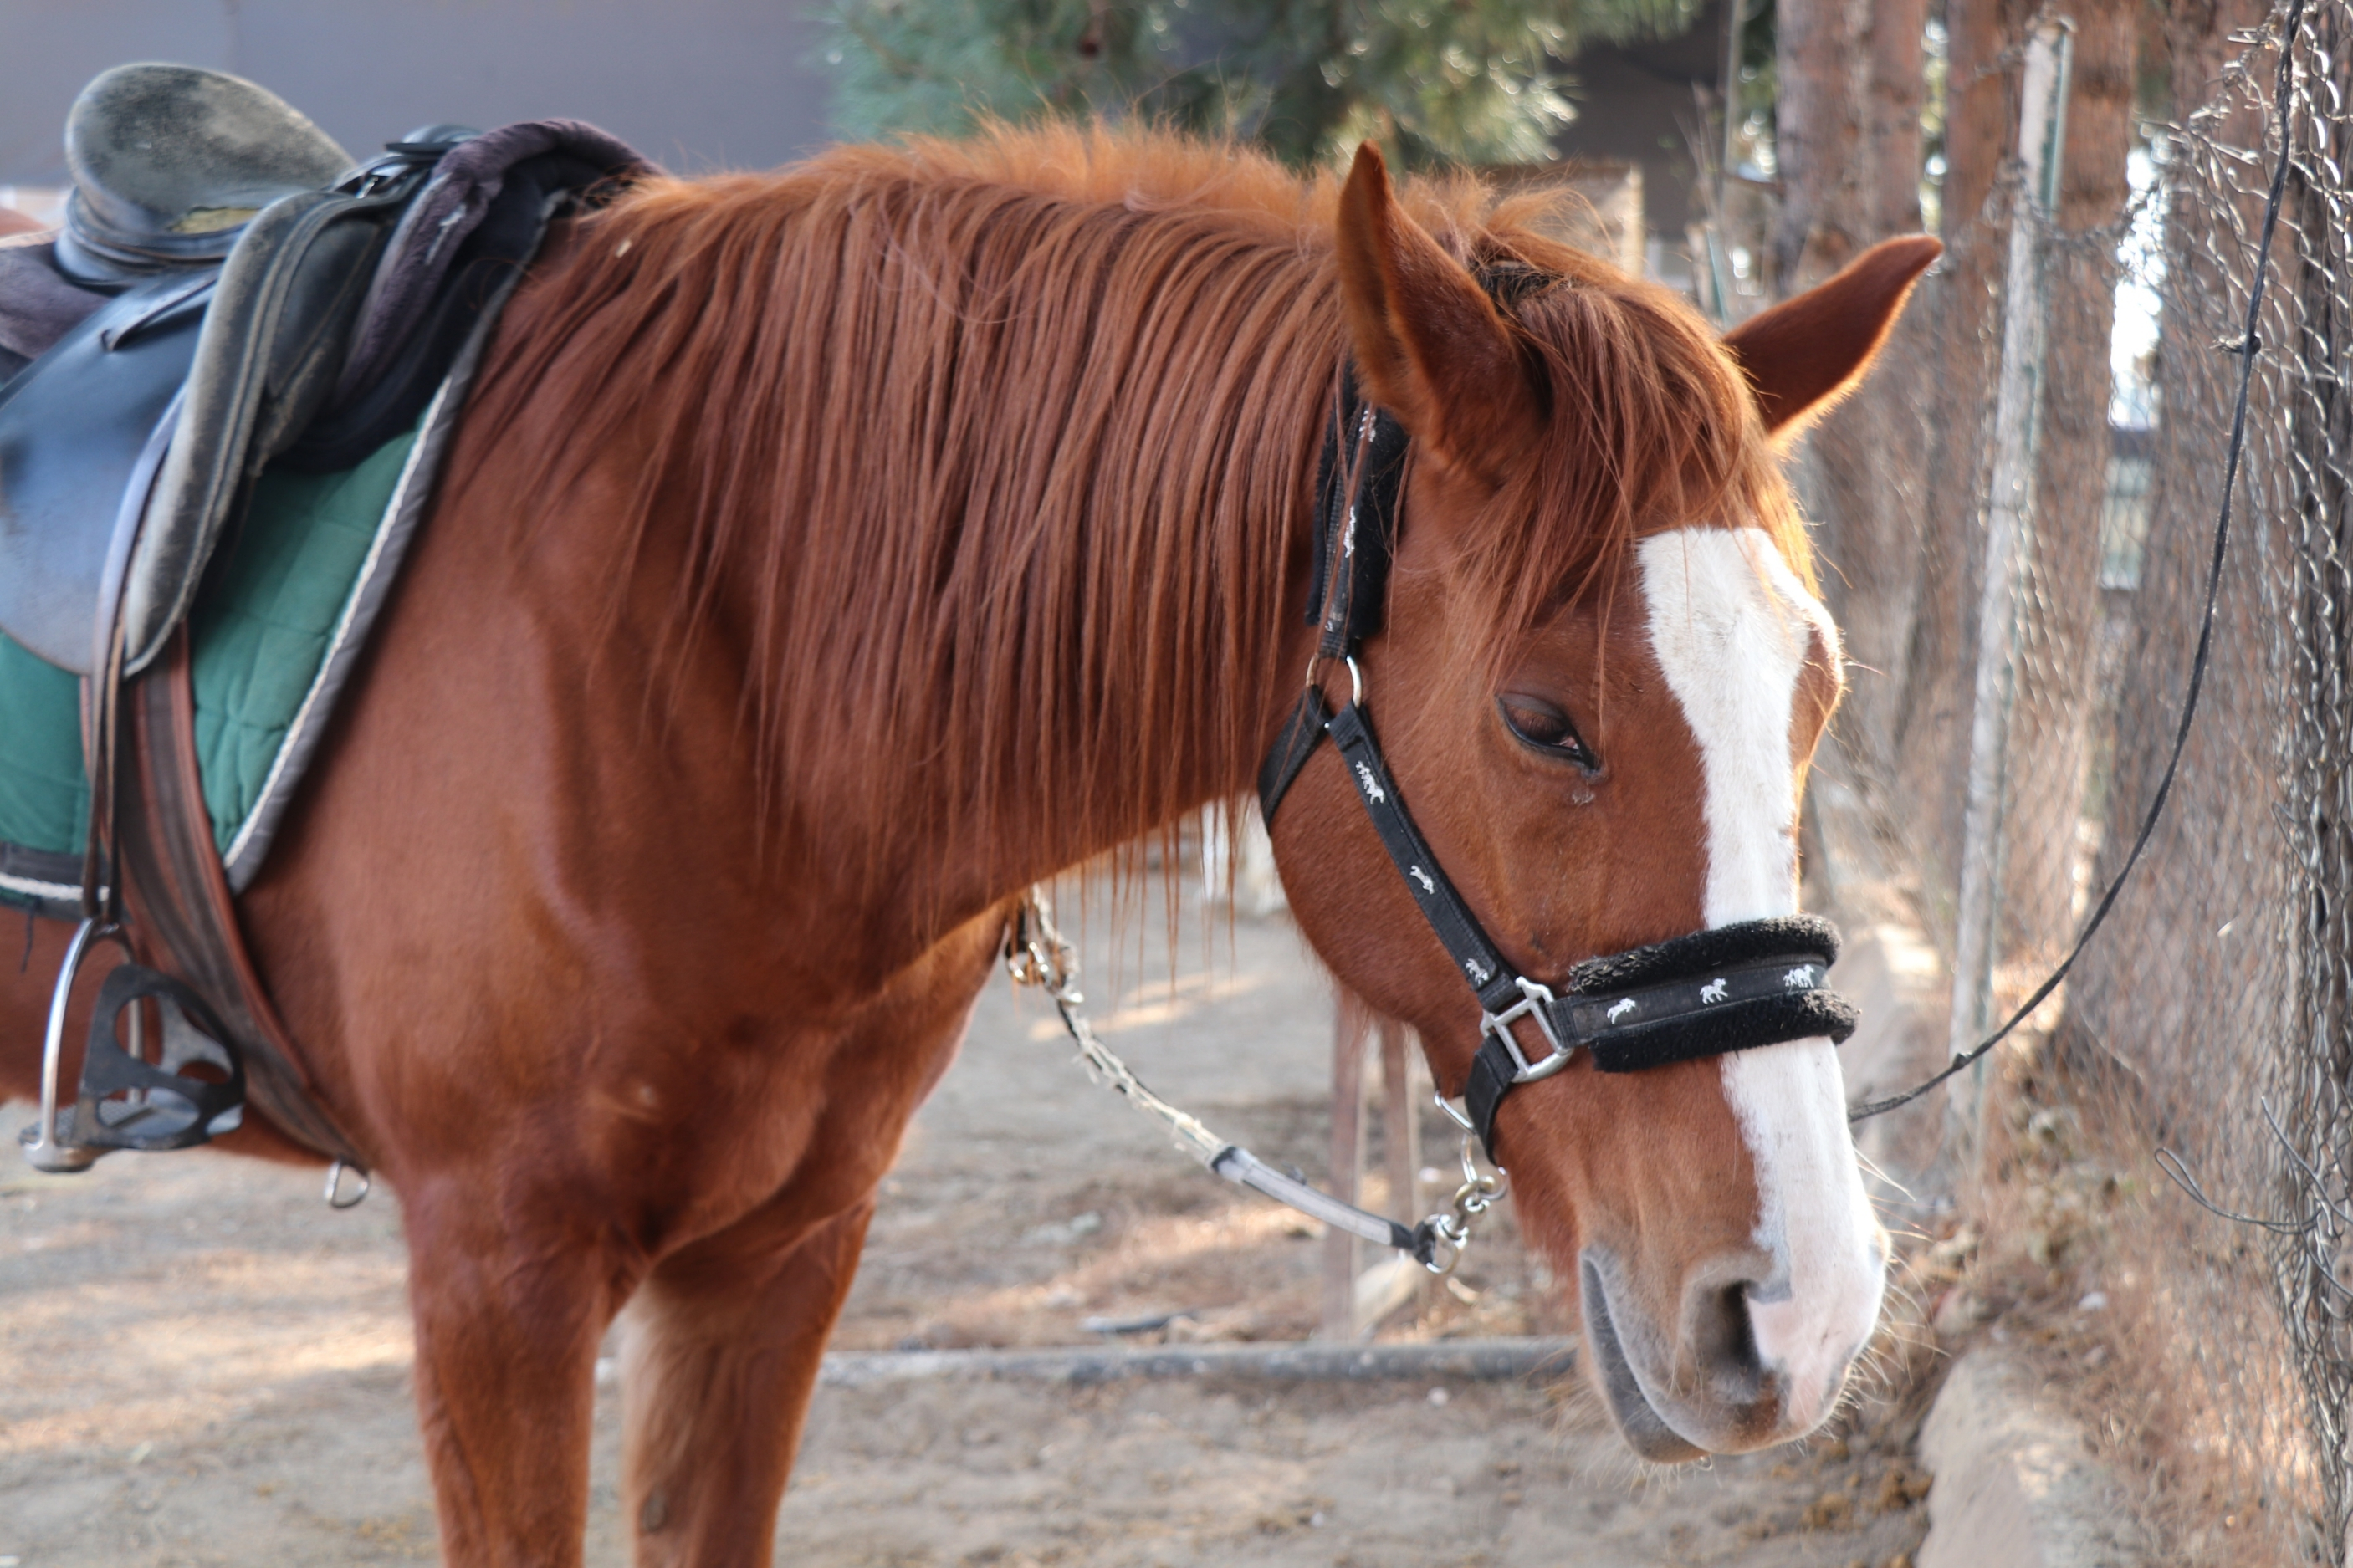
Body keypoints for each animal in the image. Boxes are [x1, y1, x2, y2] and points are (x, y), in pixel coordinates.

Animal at [4, 128, 1929, 1560]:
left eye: (1817, 694)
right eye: (1542, 720)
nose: (1802, 1310)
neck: (706, 639)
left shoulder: (779, 1256)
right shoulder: (497, 1275)